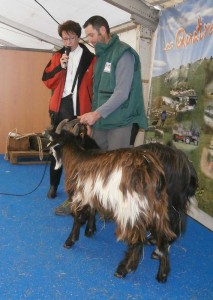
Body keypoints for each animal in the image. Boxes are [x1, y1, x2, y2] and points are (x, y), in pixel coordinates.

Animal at [48, 118, 176, 282]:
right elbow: (92, 211)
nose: (50, 156)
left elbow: (77, 218)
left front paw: (70, 241)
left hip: (131, 208)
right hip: (157, 207)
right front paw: (90, 230)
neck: (77, 157)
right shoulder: (92, 194)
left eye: (54, 143)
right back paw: (162, 274)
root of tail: (150, 170)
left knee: (137, 239)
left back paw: (123, 269)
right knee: (164, 237)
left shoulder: (80, 194)